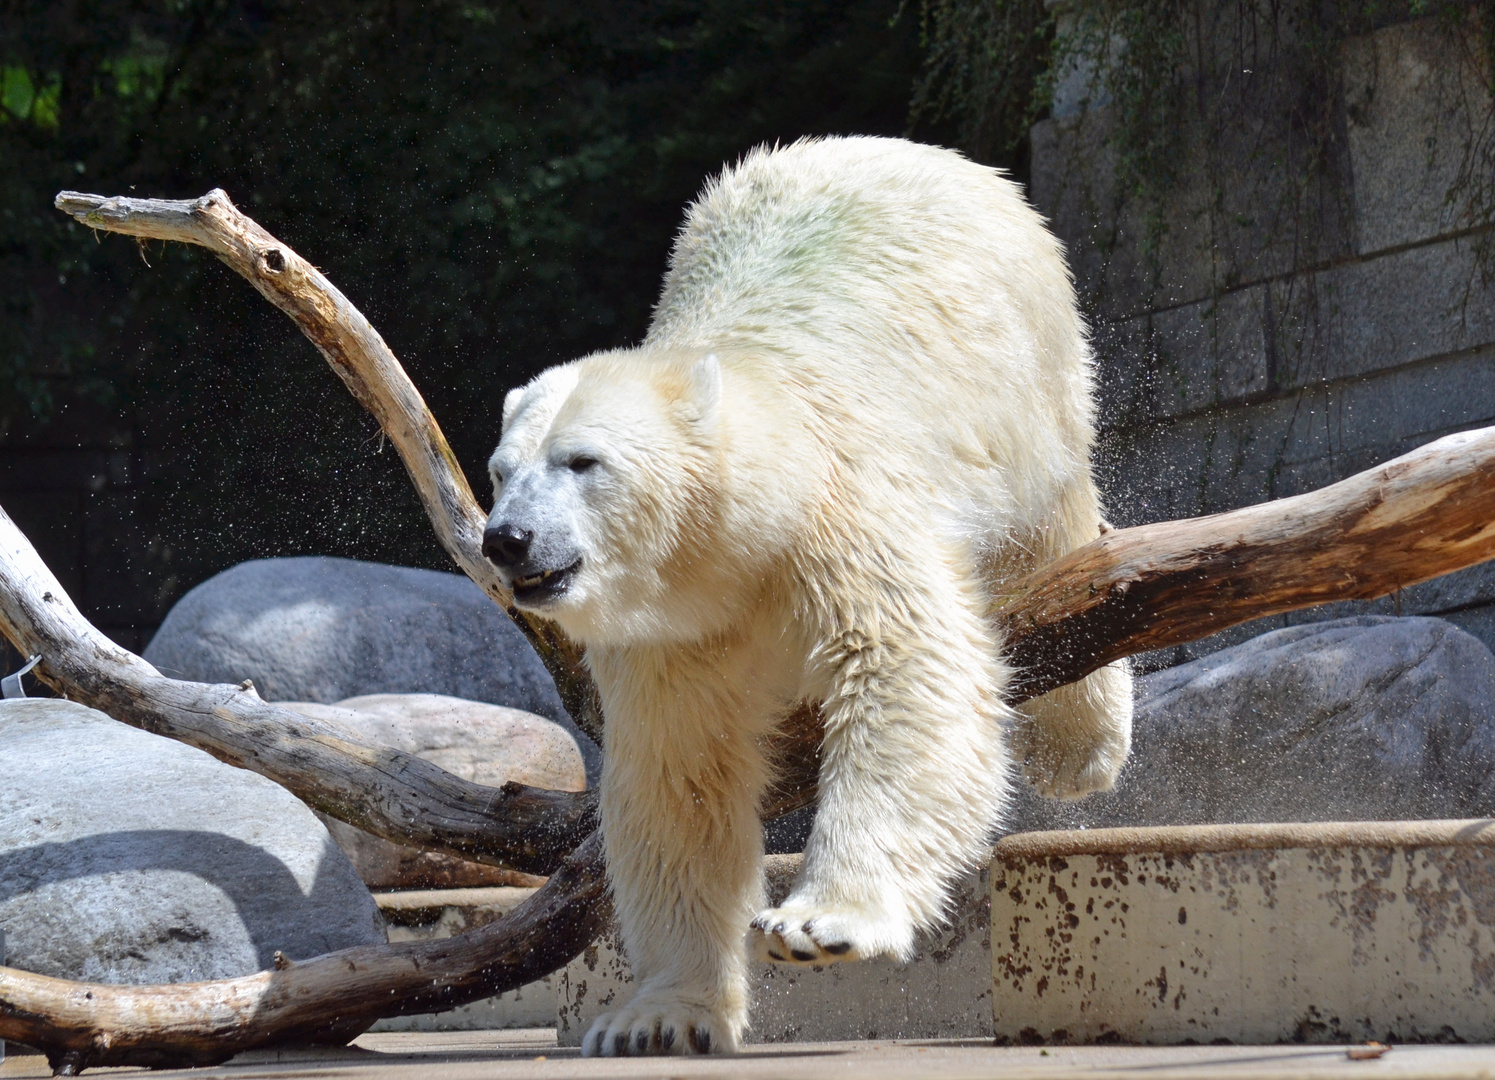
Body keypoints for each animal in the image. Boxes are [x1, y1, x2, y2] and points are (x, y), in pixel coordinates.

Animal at [484, 134, 1124, 1053]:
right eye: (500, 471)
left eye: (582, 461)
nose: (507, 539)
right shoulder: (672, 632)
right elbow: (681, 775)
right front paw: (658, 1016)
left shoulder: (836, 518)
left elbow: (905, 671)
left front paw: (821, 923)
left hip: (1024, 370)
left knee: (1051, 519)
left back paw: (1078, 747)